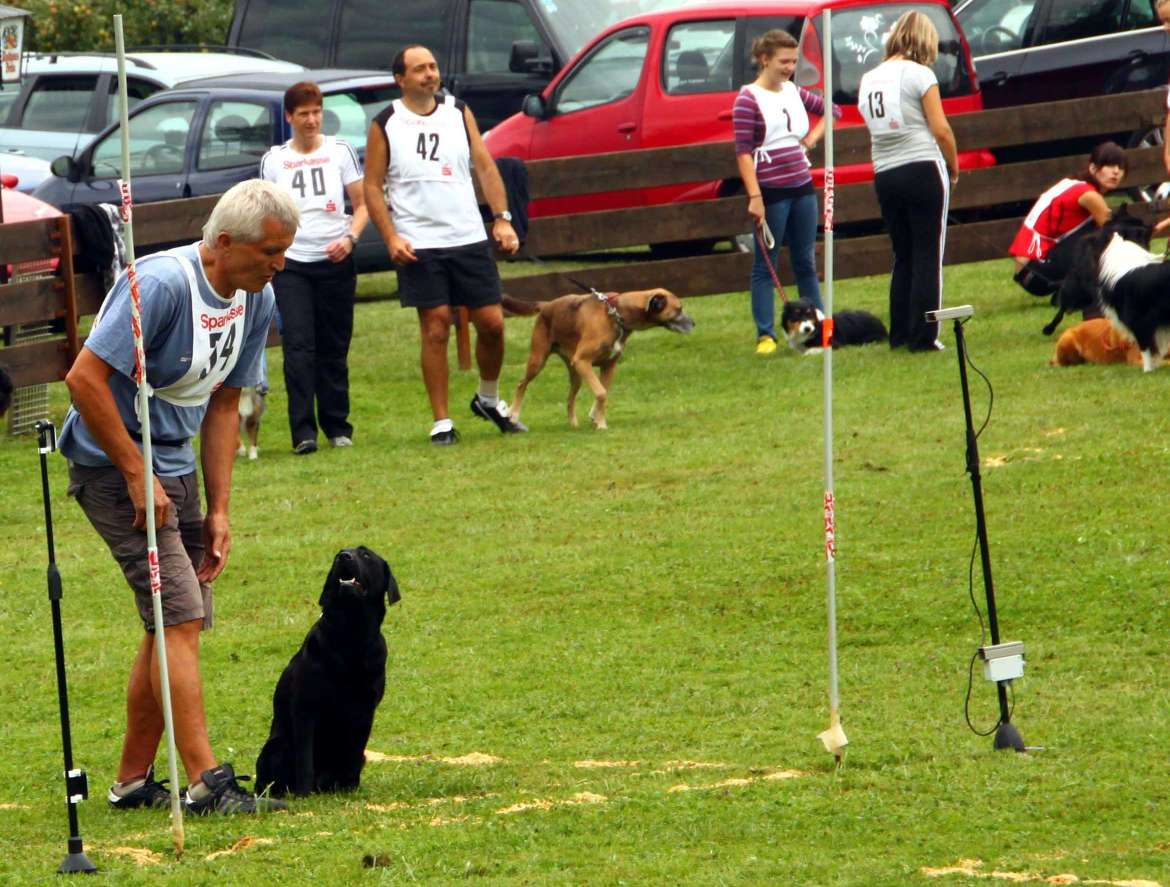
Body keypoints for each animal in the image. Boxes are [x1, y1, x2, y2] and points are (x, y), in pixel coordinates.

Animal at [505, 287, 692, 430]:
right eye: (679, 309)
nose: (694, 323)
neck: (616, 314)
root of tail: (546, 305)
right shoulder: (583, 362)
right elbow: (601, 393)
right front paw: (602, 424)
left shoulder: (608, 366)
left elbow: (603, 391)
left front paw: (596, 417)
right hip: (538, 360)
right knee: (521, 384)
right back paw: (513, 414)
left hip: (576, 374)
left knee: (569, 399)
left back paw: (573, 424)